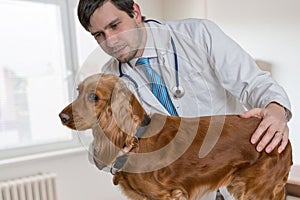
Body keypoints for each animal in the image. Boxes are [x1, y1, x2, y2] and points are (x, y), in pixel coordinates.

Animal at [59, 73, 292, 200]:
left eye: (93, 97)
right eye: (78, 91)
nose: (61, 116)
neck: (138, 137)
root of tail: (284, 138)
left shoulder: (163, 195)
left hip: (258, 190)